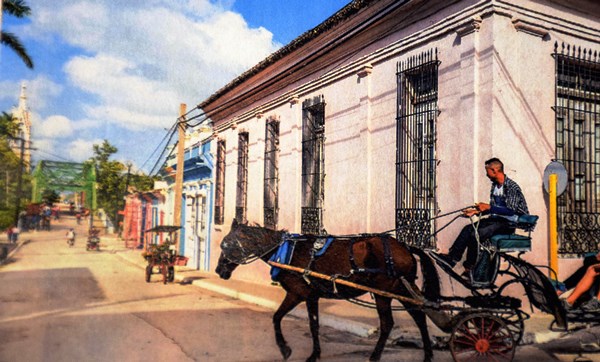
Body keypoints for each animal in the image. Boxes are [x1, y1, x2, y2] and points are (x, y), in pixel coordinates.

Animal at [216, 221, 440, 362]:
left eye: (226, 245)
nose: (219, 270)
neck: (285, 252)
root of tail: (406, 247)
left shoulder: (298, 294)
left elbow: (283, 318)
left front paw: (288, 349)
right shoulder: (310, 296)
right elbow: (307, 323)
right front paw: (307, 353)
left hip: (383, 292)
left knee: (388, 323)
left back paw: (375, 356)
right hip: (401, 288)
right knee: (419, 316)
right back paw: (427, 355)